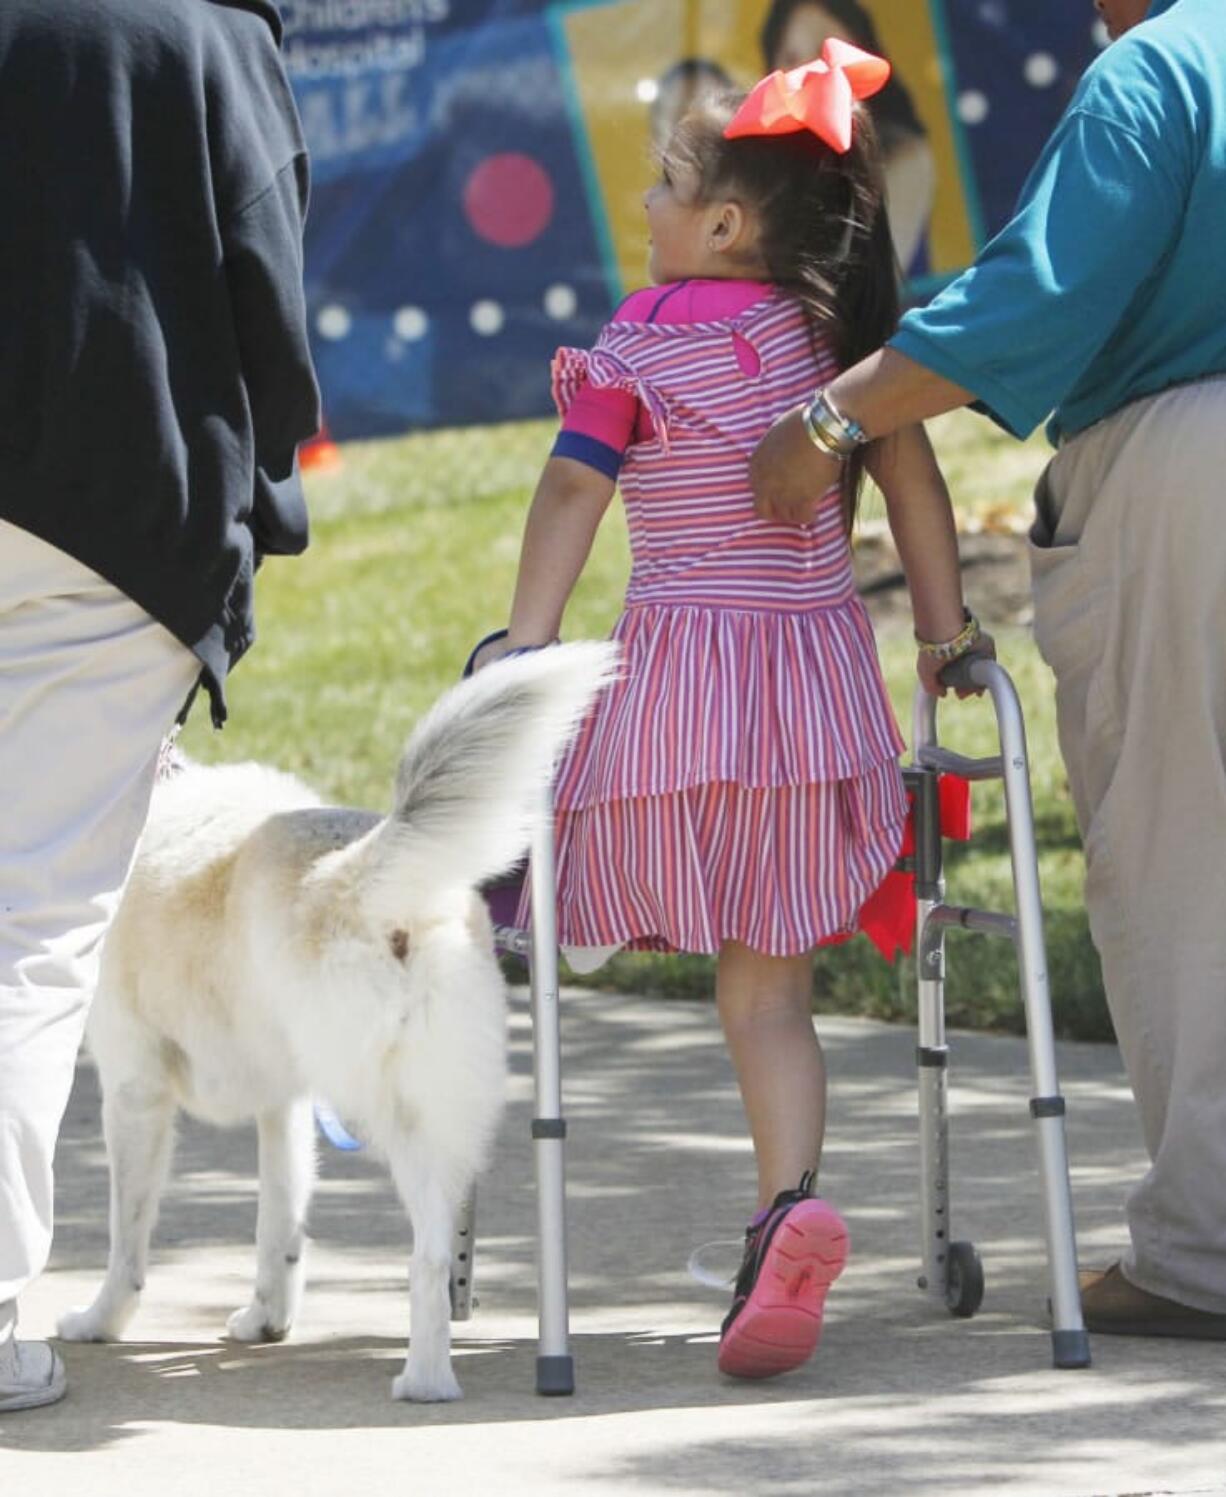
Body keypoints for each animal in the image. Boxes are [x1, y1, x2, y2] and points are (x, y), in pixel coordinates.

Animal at [57, 646, 613, 1401]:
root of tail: (361, 871)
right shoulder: (285, 1106)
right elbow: (278, 1228)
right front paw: (266, 1319)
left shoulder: (133, 1091)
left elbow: (126, 1239)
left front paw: (100, 1320)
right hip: (440, 1110)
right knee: (438, 1254)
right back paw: (433, 1375)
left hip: (385, 1109)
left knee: (425, 1257)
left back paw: (420, 1382)